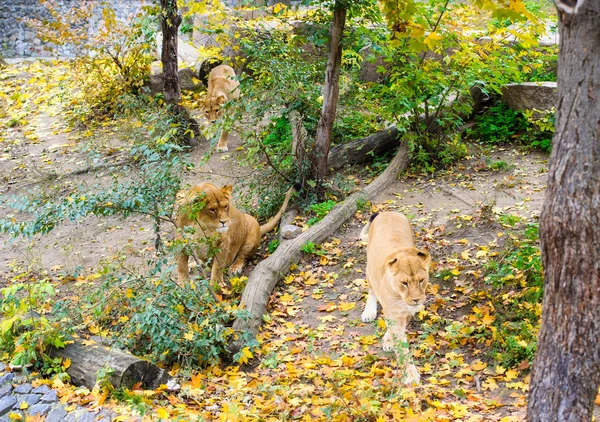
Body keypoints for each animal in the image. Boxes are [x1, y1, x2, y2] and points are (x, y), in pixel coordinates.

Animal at [360, 213, 432, 384]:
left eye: (421, 280)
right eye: (404, 283)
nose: (417, 299)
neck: (401, 297)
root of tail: (387, 212)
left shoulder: (407, 313)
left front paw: (388, 340)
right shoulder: (395, 313)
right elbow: (402, 348)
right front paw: (411, 375)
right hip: (369, 268)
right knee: (371, 290)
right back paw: (369, 312)